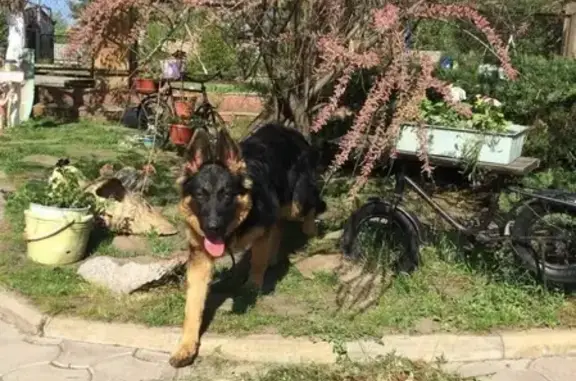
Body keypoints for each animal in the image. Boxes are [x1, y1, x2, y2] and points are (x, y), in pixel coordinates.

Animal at [169, 121, 326, 366]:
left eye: (226, 195)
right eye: (200, 195)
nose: (213, 227)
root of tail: (288, 128)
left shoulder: (261, 229)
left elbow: (258, 261)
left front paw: (253, 286)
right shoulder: (200, 258)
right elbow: (193, 306)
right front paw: (186, 346)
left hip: (296, 202)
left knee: (308, 204)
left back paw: (311, 229)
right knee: (278, 224)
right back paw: (275, 255)